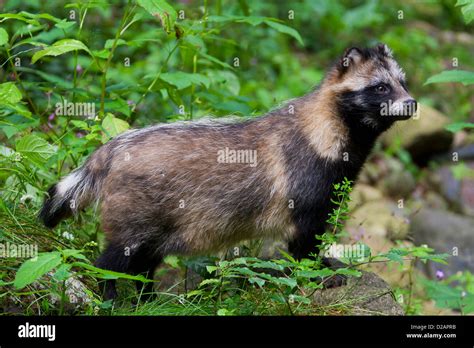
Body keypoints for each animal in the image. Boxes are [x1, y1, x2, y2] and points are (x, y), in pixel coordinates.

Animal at [40, 43, 418, 300]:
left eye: (403, 81)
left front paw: (324, 265)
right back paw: (111, 295)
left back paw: (147, 299)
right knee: (114, 260)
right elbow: (304, 240)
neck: (326, 132)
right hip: (135, 212)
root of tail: (111, 150)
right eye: (380, 87)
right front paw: (315, 273)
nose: (411, 103)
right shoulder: (305, 183)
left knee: (144, 266)